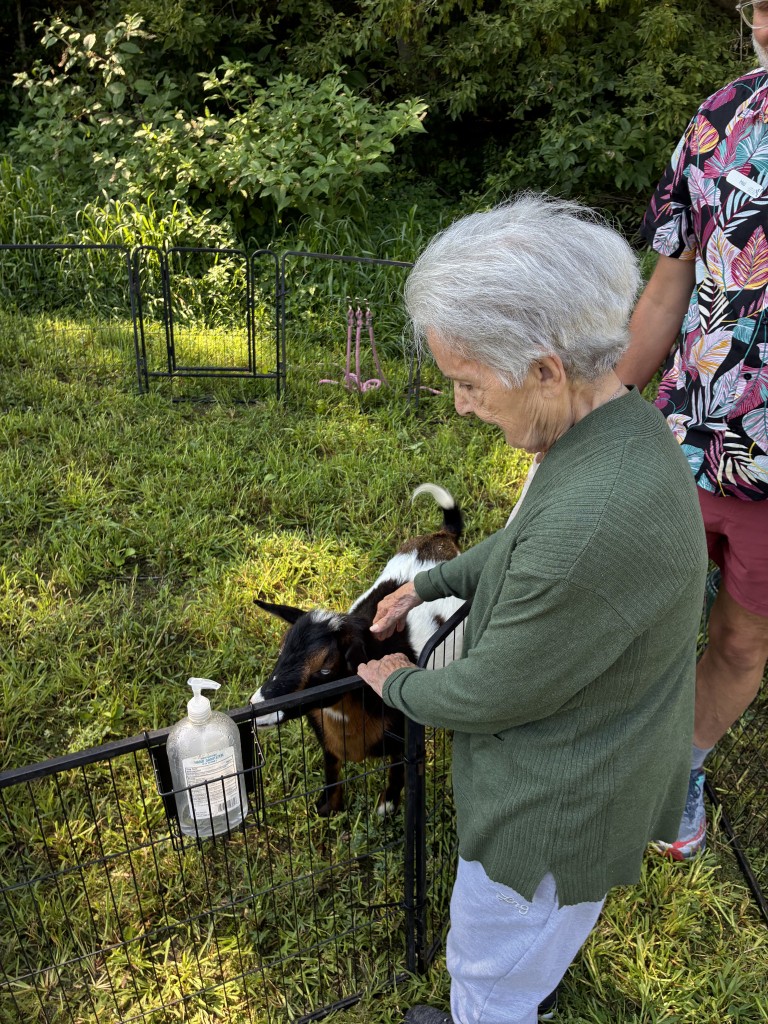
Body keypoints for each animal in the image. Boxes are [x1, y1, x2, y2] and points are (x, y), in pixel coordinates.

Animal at [250, 483, 464, 816]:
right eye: (282, 652)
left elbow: (398, 771)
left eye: (326, 667)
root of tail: (443, 536)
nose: (257, 707)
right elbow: (332, 771)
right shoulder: (327, 744)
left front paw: (386, 806)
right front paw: (328, 809)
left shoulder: (404, 741)